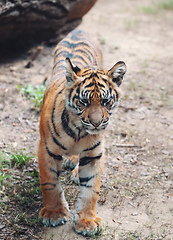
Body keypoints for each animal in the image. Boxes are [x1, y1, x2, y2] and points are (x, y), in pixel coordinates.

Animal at [37, 28, 125, 236]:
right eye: (84, 102)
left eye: (105, 101)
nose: (96, 123)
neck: (78, 132)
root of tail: (80, 29)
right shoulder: (46, 150)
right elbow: (49, 183)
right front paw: (53, 213)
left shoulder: (95, 155)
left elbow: (91, 190)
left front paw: (87, 221)